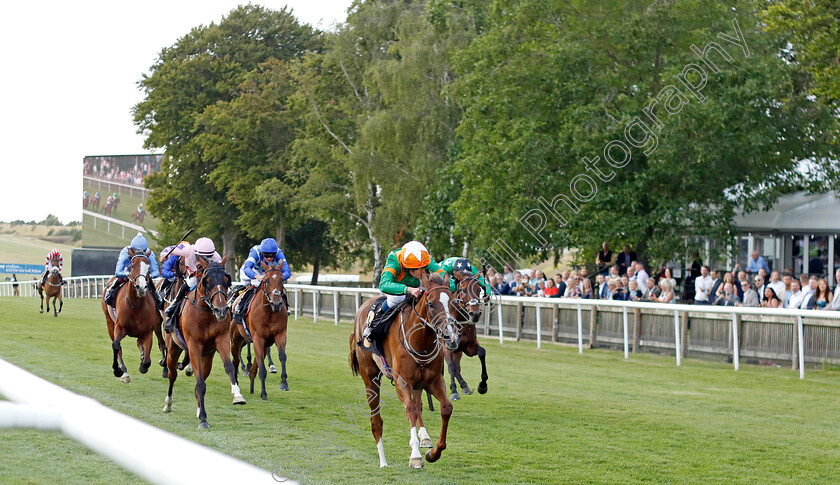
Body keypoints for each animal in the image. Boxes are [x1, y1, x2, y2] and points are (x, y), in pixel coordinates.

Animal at [100, 250, 166, 382]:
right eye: (132, 266)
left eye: (149, 268)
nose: (141, 287)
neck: (136, 306)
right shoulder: (119, 327)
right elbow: (116, 345)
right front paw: (117, 370)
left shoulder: (147, 331)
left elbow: (147, 360)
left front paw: (143, 365)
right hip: (109, 322)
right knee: (118, 346)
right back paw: (124, 372)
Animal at [162, 258, 244, 428]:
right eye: (207, 280)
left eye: (226, 279)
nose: (221, 310)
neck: (205, 312)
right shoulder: (193, 346)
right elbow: (200, 383)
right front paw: (204, 420)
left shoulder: (222, 340)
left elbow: (229, 367)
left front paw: (237, 395)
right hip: (173, 349)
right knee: (172, 375)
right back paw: (168, 404)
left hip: (207, 357)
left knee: (202, 376)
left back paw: (199, 409)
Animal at [231, 260, 290, 398]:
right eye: (266, 280)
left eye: (282, 280)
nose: (276, 303)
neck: (269, 311)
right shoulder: (258, 337)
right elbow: (260, 365)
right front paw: (264, 393)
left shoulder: (280, 335)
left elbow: (282, 356)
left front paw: (284, 383)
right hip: (236, 339)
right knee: (235, 359)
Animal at [352, 270, 462, 466]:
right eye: (431, 304)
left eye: (453, 303)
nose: (452, 338)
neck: (420, 342)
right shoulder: (402, 382)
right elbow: (410, 409)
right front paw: (416, 456)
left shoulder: (433, 381)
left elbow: (446, 407)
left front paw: (434, 453)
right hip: (370, 378)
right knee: (376, 421)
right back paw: (383, 461)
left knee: (417, 405)